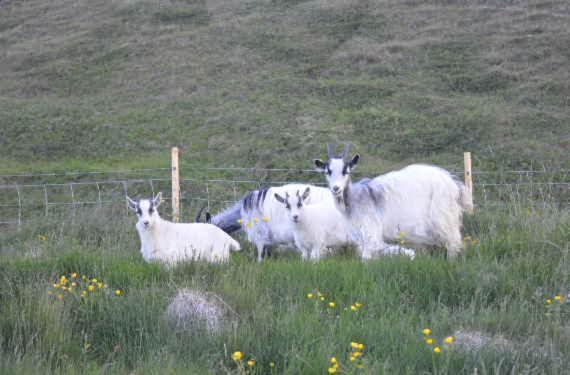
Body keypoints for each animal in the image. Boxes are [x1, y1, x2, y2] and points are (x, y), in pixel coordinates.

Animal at [274, 187, 412, 262]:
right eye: (287, 206)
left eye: (300, 204)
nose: (295, 217)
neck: (307, 218)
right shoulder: (303, 247)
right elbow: (304, 259)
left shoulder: (317, 244)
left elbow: (314, 259)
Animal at [310, 144, 470, 258]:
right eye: (328, 171)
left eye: (346, 171)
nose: (336, 188)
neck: (355, 198)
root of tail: (454, 183)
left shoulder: (371, 231)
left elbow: (366, 257)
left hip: (444, 217)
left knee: (453, 243)